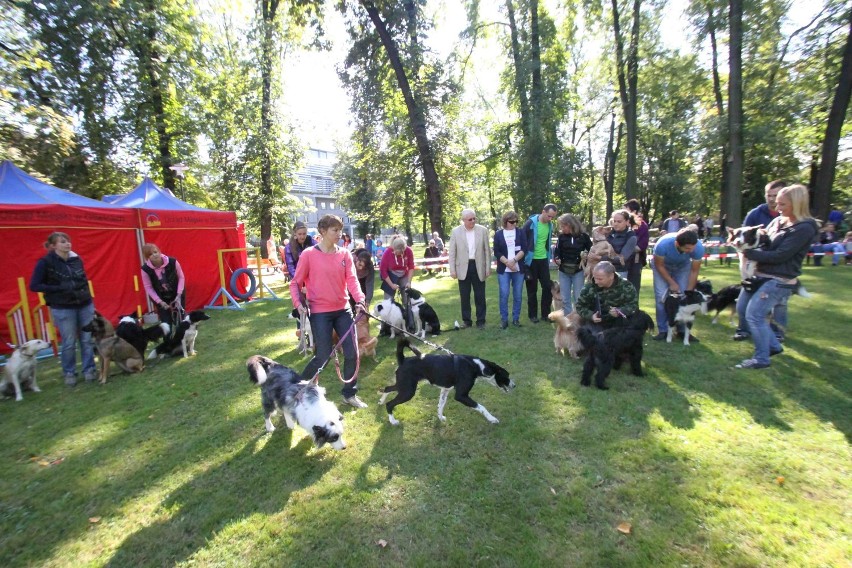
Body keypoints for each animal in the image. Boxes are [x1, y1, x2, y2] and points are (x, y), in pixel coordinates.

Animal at [378, 338, 512, 426]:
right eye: (507, 376)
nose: (514, 385)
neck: (475, 366)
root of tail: (403, 360)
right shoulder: (461, 396)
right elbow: (481, 407)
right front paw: (492, 419)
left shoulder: (445, 390)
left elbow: (440, 405)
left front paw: (440, 418)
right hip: (408, 391)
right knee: (389, 404)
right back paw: (393, 421)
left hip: (403, 386)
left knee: (387, 388)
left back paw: (381, 401)